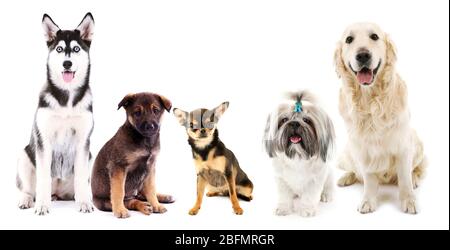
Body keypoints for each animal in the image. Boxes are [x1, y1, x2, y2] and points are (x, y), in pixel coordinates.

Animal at [16, 12, 95, 215]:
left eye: (76, 49)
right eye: (59, 49)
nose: (67, 63)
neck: (66, 98)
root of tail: (58, 192)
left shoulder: (84, 142)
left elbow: (81, 178)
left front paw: (84, 203)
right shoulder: (43, 140)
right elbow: (43, 178)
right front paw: (42, 205)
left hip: (90, 157)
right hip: (25, 157)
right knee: (28, 189)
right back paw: (28, 200)